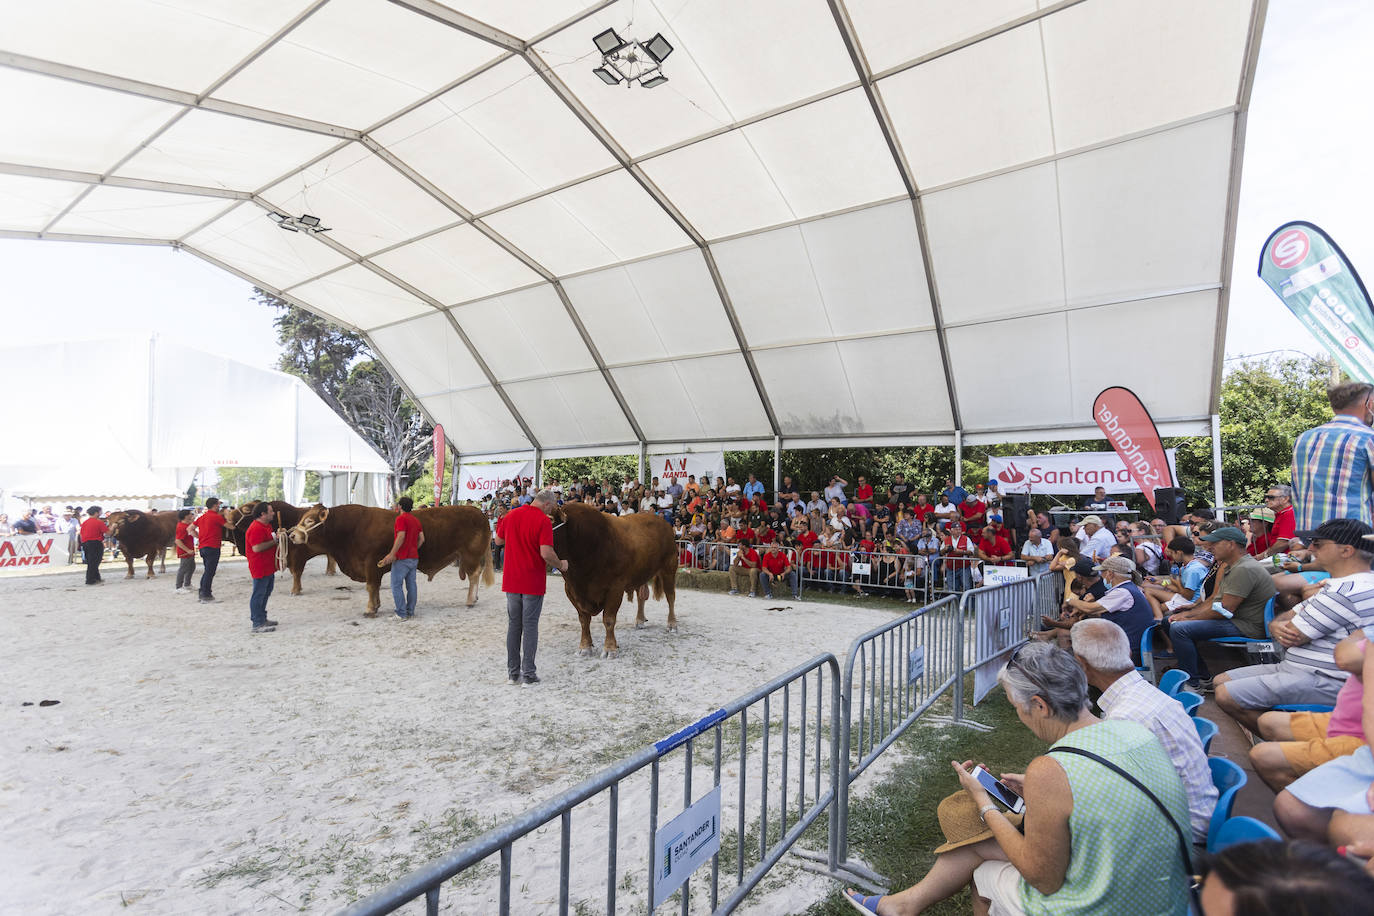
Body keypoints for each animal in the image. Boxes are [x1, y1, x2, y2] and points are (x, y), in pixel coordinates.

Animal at [287, 505, 497, 620]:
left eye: (309, 521)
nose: (292, 534)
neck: (352, 529)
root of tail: (479, 512)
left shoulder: (371, 563)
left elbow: (371, 586)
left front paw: (370, 609)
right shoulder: (373, 567)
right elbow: (376, 588)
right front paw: (376, 605)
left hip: (470, 555)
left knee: (474, 575)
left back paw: (470, 600)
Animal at [546, 502, 676, 659]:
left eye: (550, 519)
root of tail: (662, 521)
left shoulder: (615, 588)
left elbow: (608, 619)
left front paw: (610, 649)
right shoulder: (570, 589)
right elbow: (583, 620)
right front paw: (584, 647)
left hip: (669, 566)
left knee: (670, 596)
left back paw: (672, 624)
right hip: (641, 572)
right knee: (642, 595)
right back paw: (640, 620)